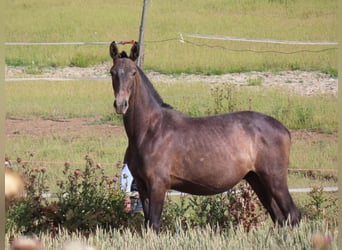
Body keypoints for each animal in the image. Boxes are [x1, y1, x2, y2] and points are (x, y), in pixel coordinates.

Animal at [109, 41, 300, 232]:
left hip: (275, 179)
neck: (150, 130)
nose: (121, 104)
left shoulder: (158, 185)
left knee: (293, 214)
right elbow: (148, 224)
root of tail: (284, 129)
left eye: (133, 72)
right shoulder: (142, 187)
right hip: (258, 181)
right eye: (112, 72)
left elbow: (155, 224)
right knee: (280, 218)